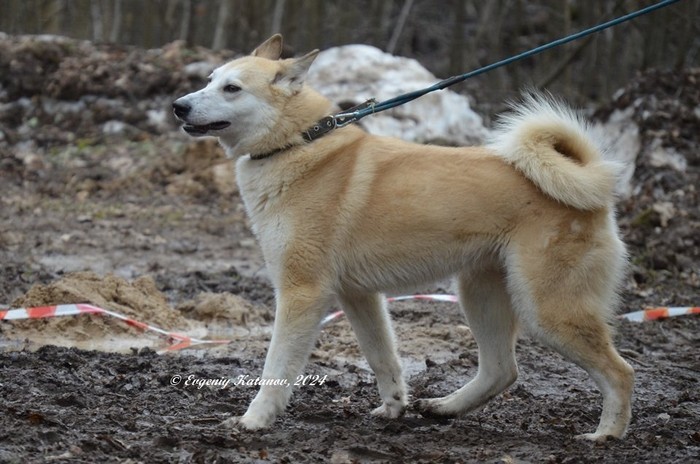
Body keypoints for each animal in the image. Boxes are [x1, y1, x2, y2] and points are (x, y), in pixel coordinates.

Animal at [173, 34, 634, 441]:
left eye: (232, 88)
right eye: (210, 79)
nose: (178, 106)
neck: (297, 144)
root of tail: (594, 190)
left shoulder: (302, 293)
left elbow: (276, 369)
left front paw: (254, 420)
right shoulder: (358, 296)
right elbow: (383, 359)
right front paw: (394, 407)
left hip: (547, 312)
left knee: (620, 372)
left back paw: (606, 435)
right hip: (480, 295)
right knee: (502, 370)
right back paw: (445, 407)